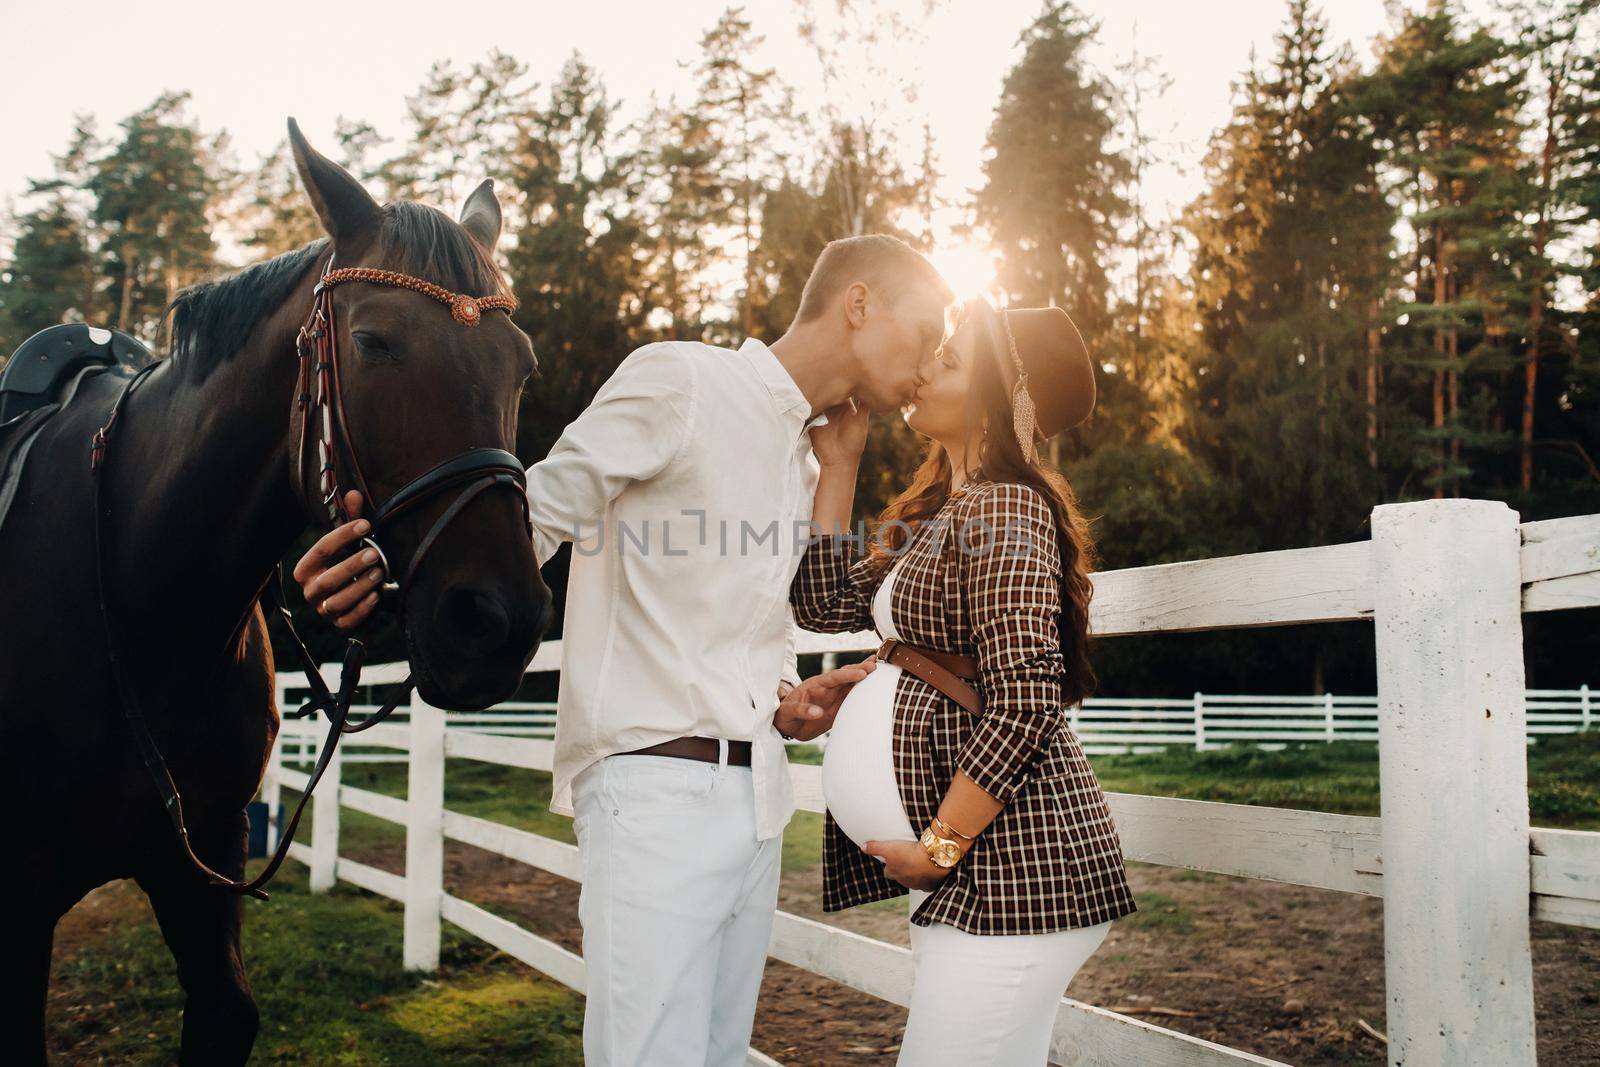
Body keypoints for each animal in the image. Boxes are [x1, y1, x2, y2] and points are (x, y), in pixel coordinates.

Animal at [0, 120, 550, 1062]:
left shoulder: (203, 857)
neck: (152, 603)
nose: (498, 622)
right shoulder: (20, 900)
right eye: (372, 343)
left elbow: (227, 1010)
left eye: (520, 364)